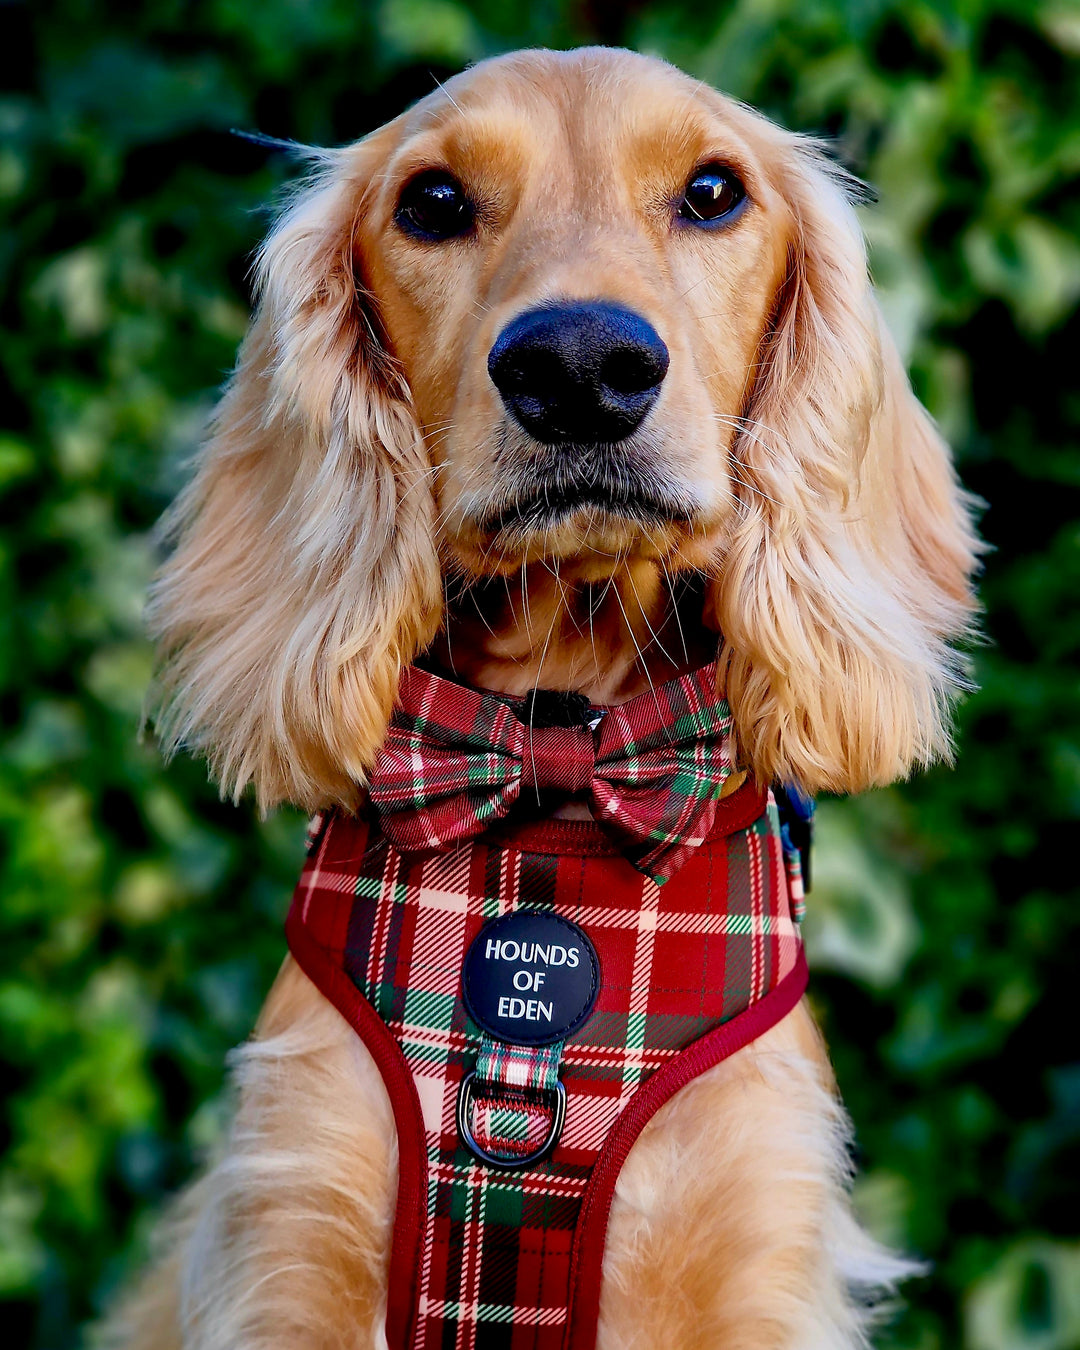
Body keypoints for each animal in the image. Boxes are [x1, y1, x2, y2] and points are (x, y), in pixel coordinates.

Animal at [105, 42, 982, 1350]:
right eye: (432, 203)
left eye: (713, 192)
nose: (576, 367)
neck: (557, 767)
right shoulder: (290, 1238)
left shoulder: (751, 1254)